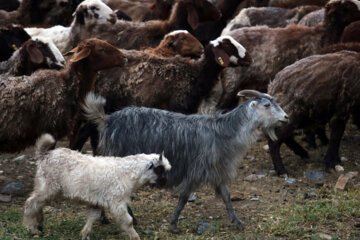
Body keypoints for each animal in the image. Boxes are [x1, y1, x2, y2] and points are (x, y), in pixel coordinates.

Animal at [23, 133, 171, 240]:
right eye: (160, 169)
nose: (166, 183)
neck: (128, 172)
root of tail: (44, 155)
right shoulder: (117, 201)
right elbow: (128, 221)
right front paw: (135, 237)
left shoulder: (97, 201)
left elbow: (92, 217)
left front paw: (85, 234)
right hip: (47, 186)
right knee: (31, 203)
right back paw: (32, 228)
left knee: (39, 204)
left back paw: (40, 225)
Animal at [82, 90, 290, 232]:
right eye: (266, 105)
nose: (286, 118)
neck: (223, 131)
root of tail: (107, 119)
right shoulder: (196, 169)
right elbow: (183, 197)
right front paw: (174, 224)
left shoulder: (216, 170)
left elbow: (226, 195)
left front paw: (236, 221)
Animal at [266, 45, 360, 176]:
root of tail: (273, 85)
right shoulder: (343, 108)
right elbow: (336, 136)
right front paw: (333, 164)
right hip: (293, 114)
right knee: (274, 140)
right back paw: (282, 171)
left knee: (284, 137)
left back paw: (303, 153)